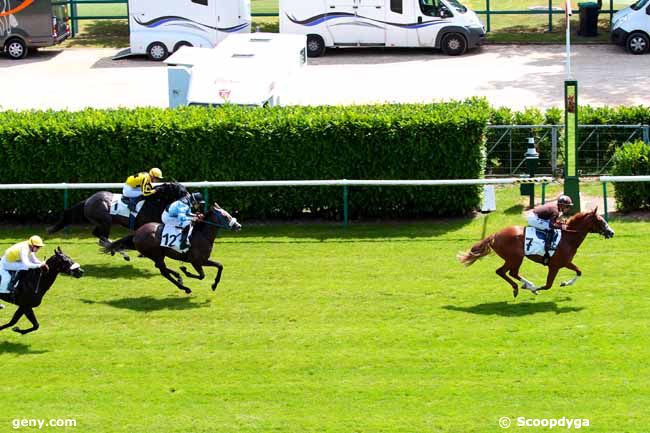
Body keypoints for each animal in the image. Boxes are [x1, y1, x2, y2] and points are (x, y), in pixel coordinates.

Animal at [45, 181, 187, 258]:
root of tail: (88, 200)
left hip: (101, 222)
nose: (189, 200)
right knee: (101, 235)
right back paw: (121, 252)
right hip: (105, 220)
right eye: (182, 191)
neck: (153, 202)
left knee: (98, 234)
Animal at [104, 203, 240, 294]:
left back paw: (178, 277)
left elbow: (220, 266)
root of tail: (136, 233)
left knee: (160, 267)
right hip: (156, 254)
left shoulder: (203, 260)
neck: (202, 235)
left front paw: (214, 285)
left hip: (157, 255)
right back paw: (185, 287)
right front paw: (186, 271)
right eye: (226, 216)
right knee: (163, 271)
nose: (238, 226)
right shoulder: (197, 261)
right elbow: (202, 275)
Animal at [456, 208, 612, 296]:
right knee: (504, 272)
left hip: (514, 259)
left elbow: (579, 271)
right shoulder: (555, 266)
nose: (611, 232)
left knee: (511, 273)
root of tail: (495, 235)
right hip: (515, 258)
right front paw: (535, 289)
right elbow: (548, 285)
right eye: (600, 220)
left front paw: (564, 283)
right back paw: (522, 287)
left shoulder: (565, 262)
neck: (568, 237)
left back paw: (524, 285)